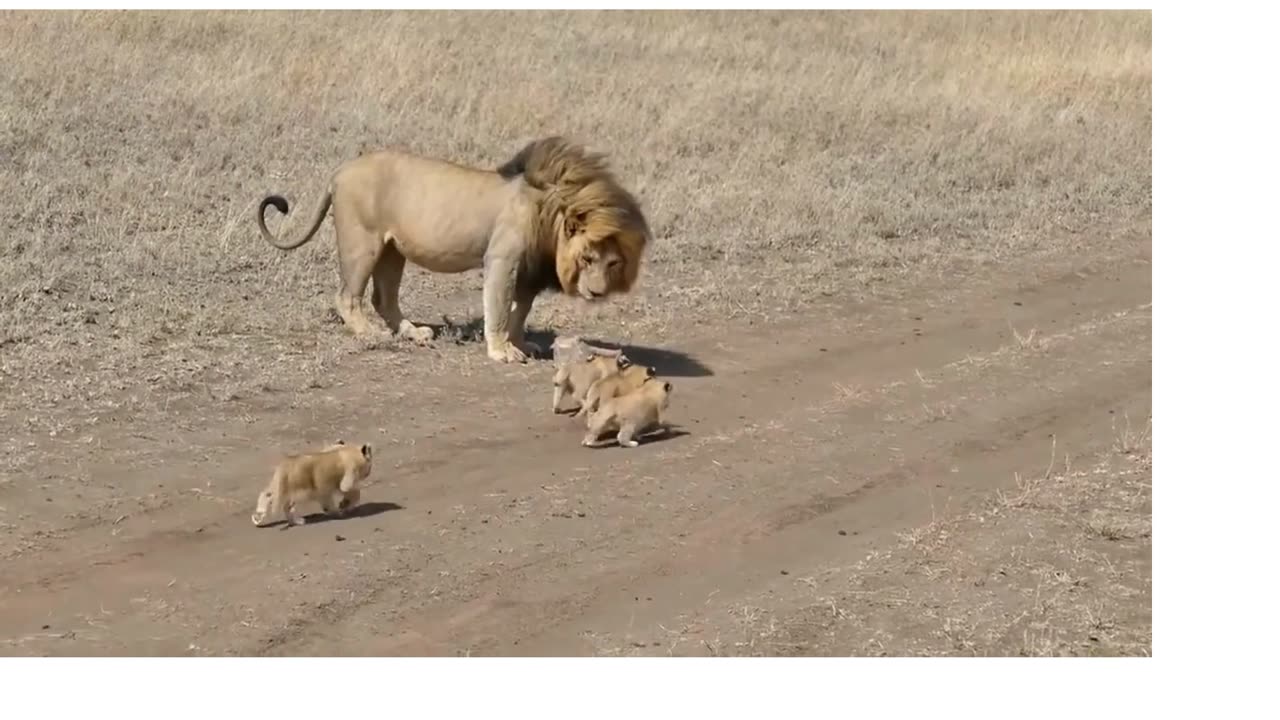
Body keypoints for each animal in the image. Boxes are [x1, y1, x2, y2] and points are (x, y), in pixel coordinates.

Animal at [253, 134, 650, 361]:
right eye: (587, 258)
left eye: (613, 263)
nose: (596, 292)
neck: (550, 211)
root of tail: (340, 171)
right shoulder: (503, 258)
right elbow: (499, 308)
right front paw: (501, 351)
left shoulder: (529, 270)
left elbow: (520, 311)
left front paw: (521, 344)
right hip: (362, 241)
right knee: (347, 296)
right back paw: (370, 333)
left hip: (392, 250)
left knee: (384, 298)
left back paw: (412, 332)